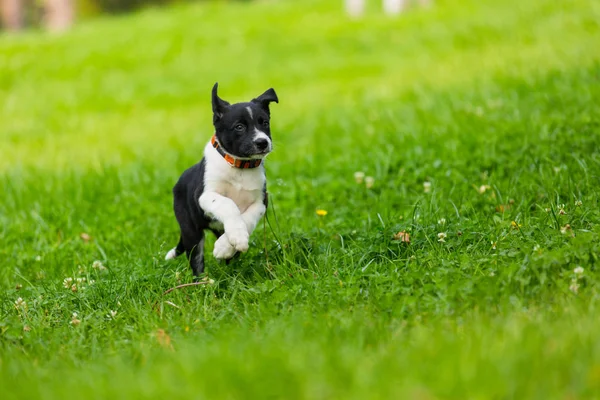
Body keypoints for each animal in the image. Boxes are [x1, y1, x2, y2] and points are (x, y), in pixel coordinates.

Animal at [163, 83, 278, 278]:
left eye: (264, 123)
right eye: (239, 127)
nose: (262, 142)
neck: (240, 167)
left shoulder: (261, 201)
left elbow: (247, 218)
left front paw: (227, 245)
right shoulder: (204, 195)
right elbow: (228, 204)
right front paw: (234, 239)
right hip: (190, 230)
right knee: (196, 259)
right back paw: (202, 282)